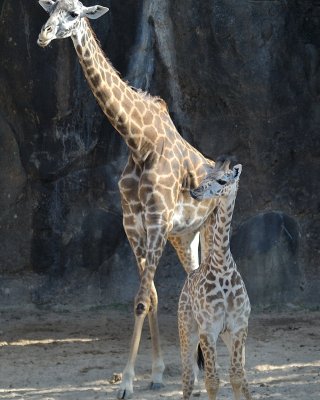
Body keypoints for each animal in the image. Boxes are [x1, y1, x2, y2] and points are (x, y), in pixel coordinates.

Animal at [37, 2, 218, 396]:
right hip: (185, 236)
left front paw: (128, 383)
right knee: (193, 283)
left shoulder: (157, 221)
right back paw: (197, 372)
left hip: (209, 228)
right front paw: (156, 373)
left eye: (73, 14)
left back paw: (206, 375)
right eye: (51, 8)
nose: (43, 35)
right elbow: (150, 297)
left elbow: (139, 300)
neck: (138, 141)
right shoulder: (133, 224)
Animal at [179, 158, 251, 398]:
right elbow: (212, 381)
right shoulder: (208, 329)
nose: (195, 191)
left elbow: (237, 376)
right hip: (187, 330)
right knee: (188, 378)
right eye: (204, 178)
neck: (222, 265)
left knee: (242, 374)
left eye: (222, 181)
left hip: (227, 336)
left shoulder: (238, 326)